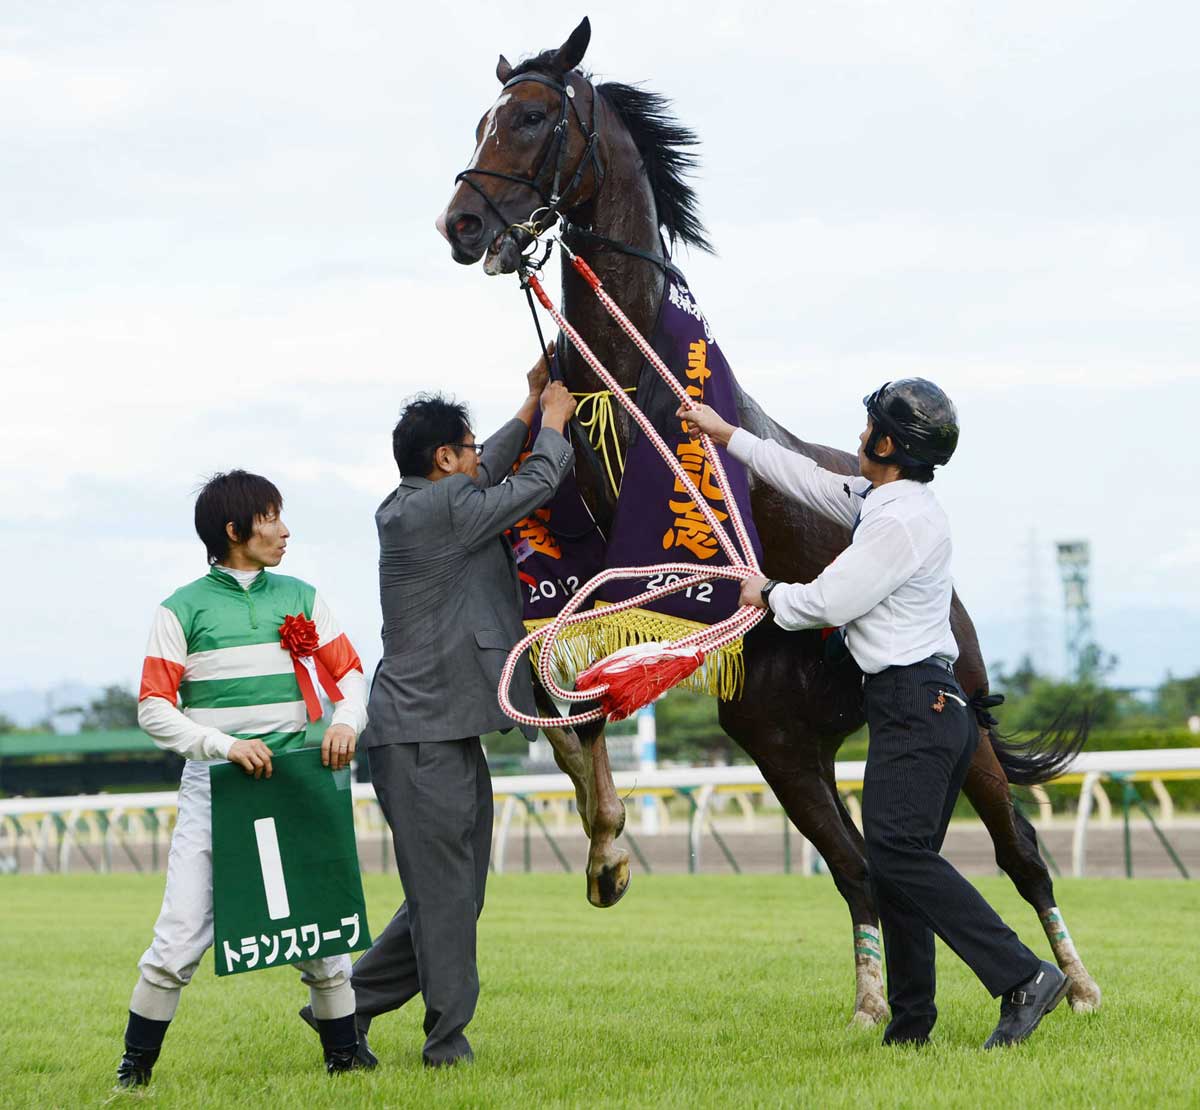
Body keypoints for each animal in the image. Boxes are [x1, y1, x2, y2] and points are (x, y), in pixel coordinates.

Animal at [436, 17, 1101, 1025]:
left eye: (535, 117)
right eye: (483, 118)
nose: (464, 224)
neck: (623, 376)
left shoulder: (660, 558)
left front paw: (610, 844)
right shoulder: (582, 568)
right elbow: (563, 700)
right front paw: (605, 850)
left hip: (961, 723)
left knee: (1016, 852)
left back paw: (1074, 984)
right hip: (786, 745)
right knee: (865, 867)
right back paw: (875, 1003)